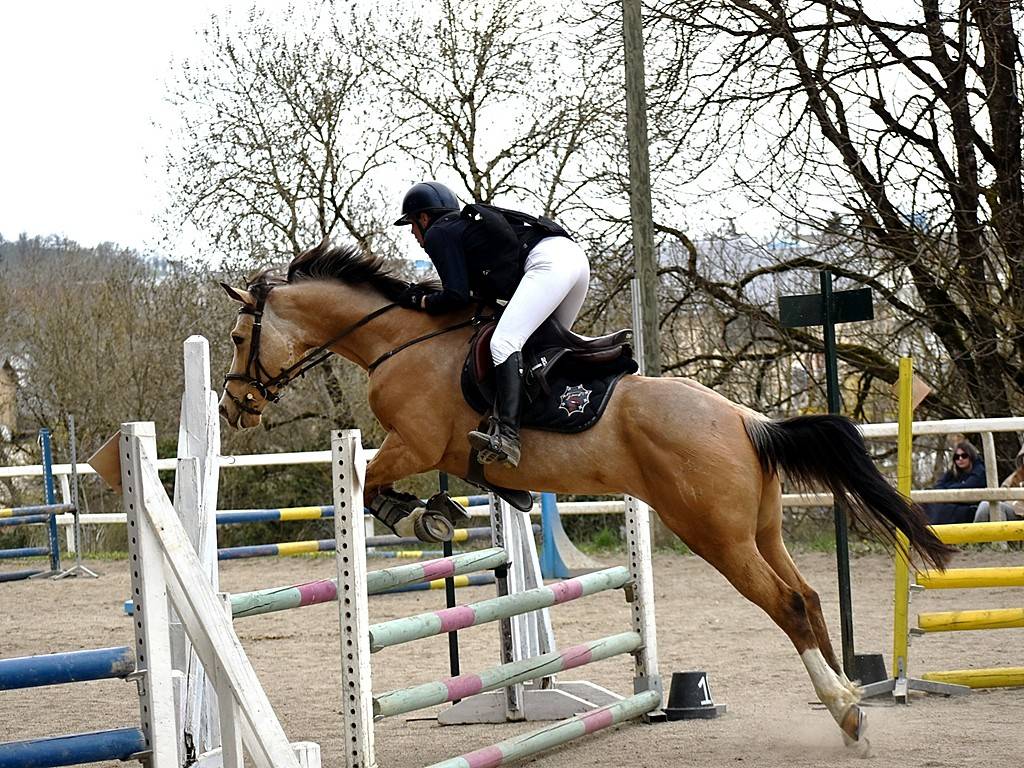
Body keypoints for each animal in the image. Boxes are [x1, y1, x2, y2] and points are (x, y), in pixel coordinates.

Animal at [218, 241, 954, 747]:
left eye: (236, 336)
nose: (232, 408)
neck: (401, 341)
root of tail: (750, 421)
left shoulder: (416, 444)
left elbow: (373, 482)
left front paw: (417, 519)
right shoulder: (433, 451)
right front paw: (456, 508)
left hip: (713, 534)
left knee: (788, 605)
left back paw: (847, 711)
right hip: (759, 530)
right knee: (808, 597)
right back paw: (848, 698)